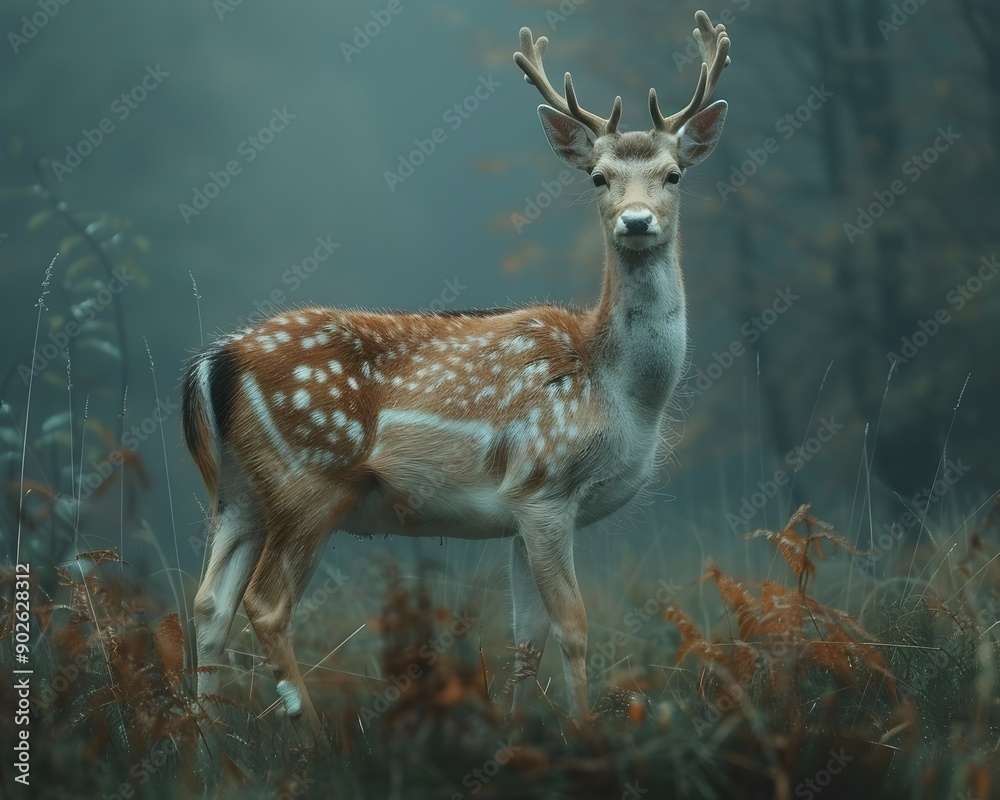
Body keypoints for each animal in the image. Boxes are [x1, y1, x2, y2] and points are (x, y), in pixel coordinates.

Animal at [183, 10, 730, 748]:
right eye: (597, 176)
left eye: (674, 175)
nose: (636, 221)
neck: (622, 394)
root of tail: (219, 359)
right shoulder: (545, 483)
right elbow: (574, 626)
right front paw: (585, 735)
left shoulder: (523, 511)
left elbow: (526, 635)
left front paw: (517, 739)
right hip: (310, 477)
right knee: (266, 604)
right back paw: (315, 737)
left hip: (239, 493)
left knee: (208, 603)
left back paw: (208, 747)